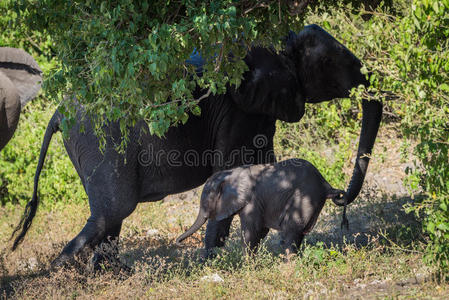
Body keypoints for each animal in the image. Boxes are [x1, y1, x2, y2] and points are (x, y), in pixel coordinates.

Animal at [175, 158, 346, 254]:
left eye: (207, 199)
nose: (177, 241)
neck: (231, 172)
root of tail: (325, 184)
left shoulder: (252, 202)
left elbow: (252, 231)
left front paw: (247, 267)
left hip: (305, 197)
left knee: (291, 230)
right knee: (298, 233)